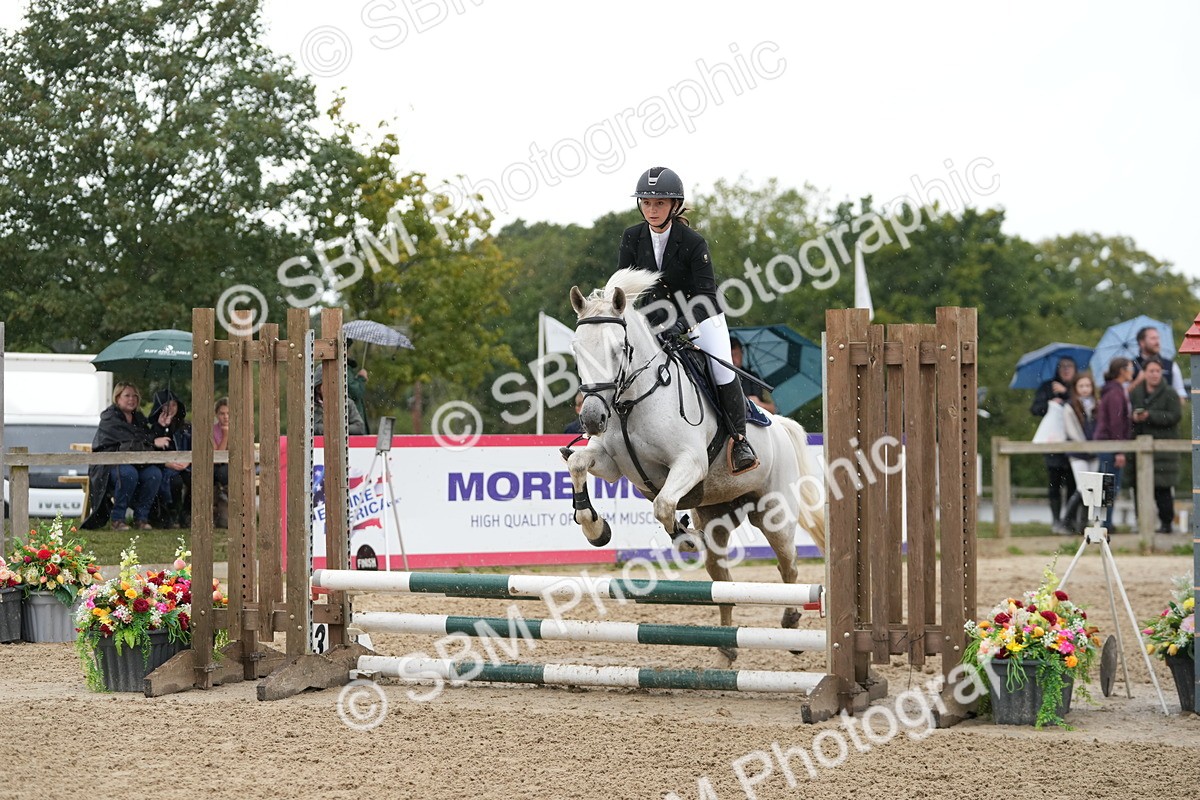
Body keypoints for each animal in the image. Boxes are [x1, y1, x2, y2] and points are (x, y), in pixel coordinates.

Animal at [564, 268, 826, 667]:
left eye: (618, 349)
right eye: (577, 350)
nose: (592, 419)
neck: (630, 404)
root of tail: (780, 425)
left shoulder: (688, 463)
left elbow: (663, 505)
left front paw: (684, 537)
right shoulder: (609, 465)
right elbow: (578, 463)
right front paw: (595, 527)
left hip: (774, 514)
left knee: (789, 566)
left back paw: (792, 624)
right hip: (718, 517)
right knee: (723, 583)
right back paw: (726, 653)